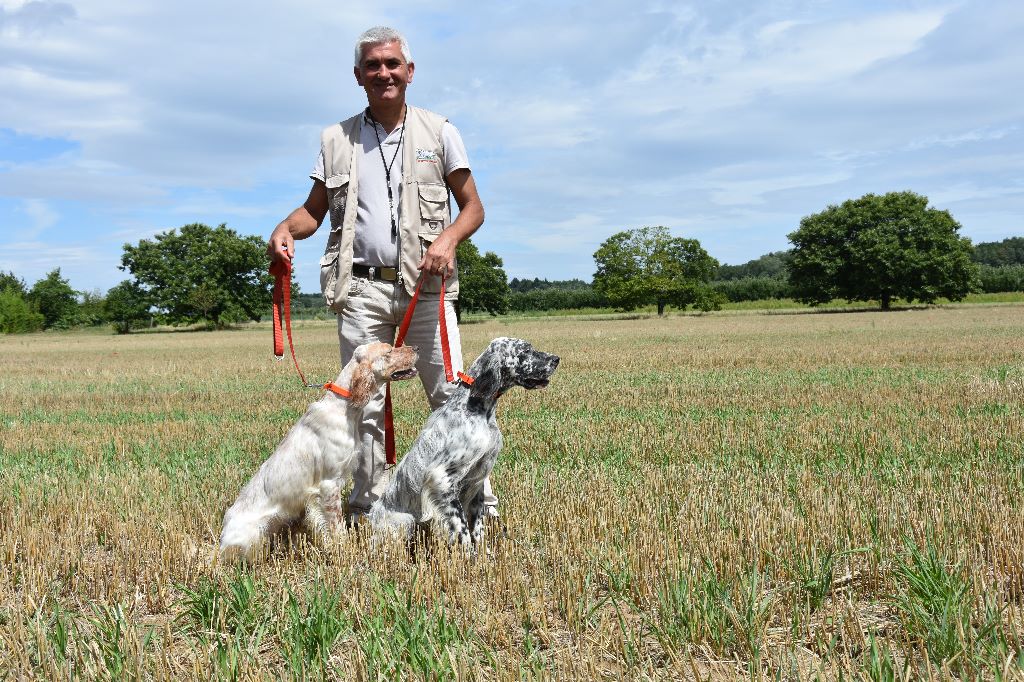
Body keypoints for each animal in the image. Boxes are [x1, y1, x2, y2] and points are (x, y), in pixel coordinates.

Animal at [220, 342, 415, 561]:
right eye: (389, 351)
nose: (416, 348)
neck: (344, 408)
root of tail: (222, 538)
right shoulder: (329, 484)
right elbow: (337, 526)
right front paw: (345, 550)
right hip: (254, 532)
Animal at [370, 337, 561, 544]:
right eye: (525, 350)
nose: (556, 359)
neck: (477, 408)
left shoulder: (477, 479)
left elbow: (477, 526)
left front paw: (483, 551)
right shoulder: (441, 479)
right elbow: (461, 526)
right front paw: (469, 551)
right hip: (406, 520)